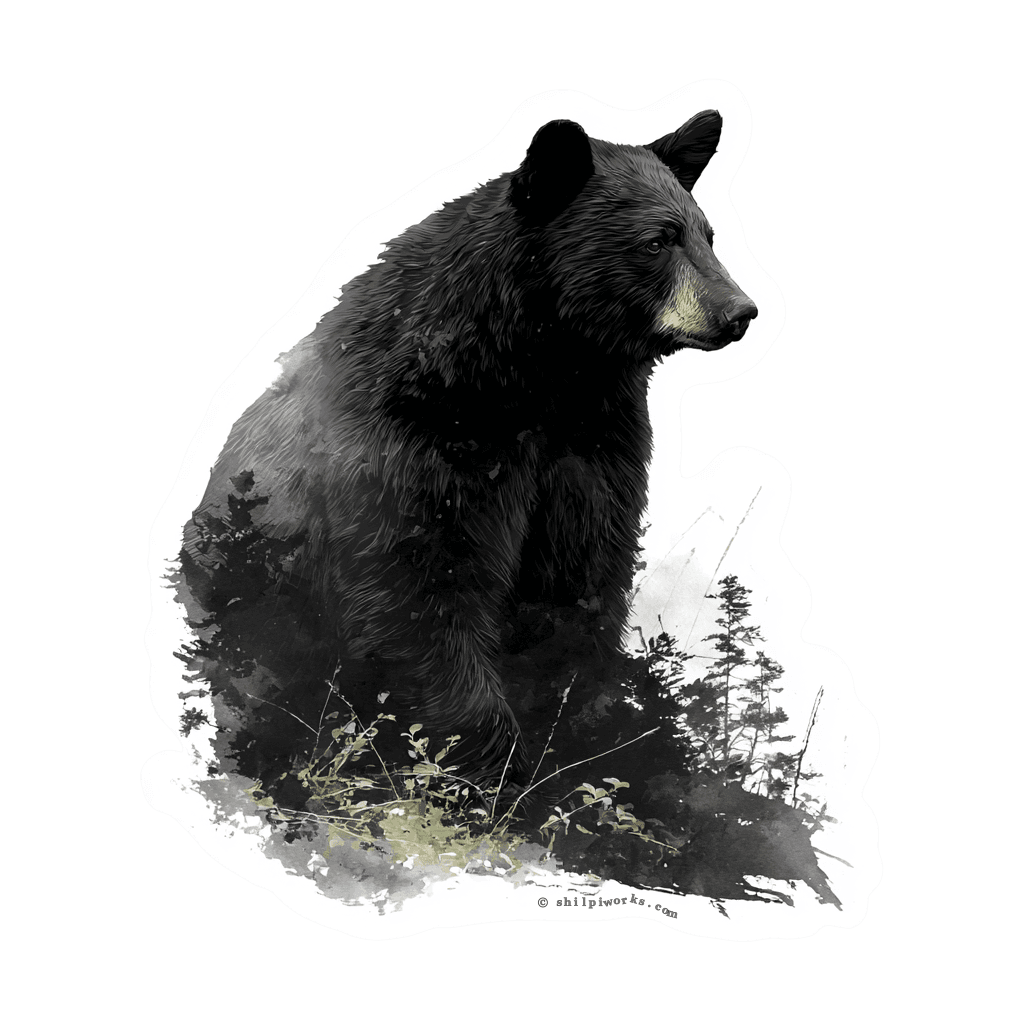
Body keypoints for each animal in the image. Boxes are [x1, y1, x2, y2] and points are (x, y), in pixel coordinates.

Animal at [182, 110, 757, 785]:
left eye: (708, 235)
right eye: (657, 241)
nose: (740, 311)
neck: (540, 374)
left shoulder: (593, 445)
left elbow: (579, 580)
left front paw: (582, 746)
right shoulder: (417, 438)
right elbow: (419, 585)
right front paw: (492, 772)